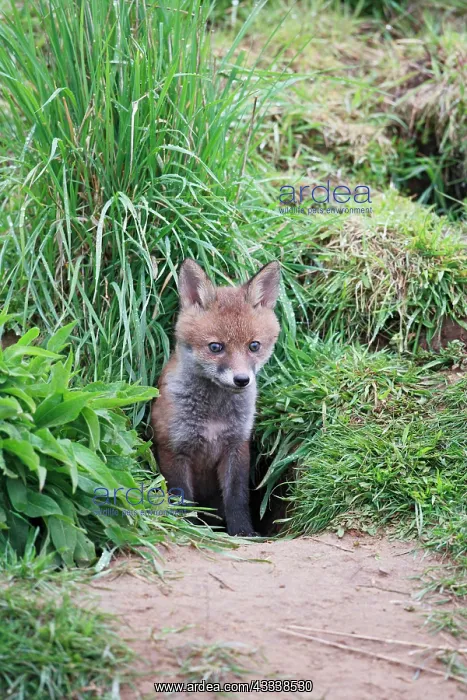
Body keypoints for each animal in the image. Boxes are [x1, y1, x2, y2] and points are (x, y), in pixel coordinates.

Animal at [151, 258, 281, 536]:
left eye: (254, 346)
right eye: (215, 347)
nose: (242, 380)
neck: (213, 417)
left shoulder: (236, 446)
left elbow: (237, 497)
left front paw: (243, 532)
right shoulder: (173, 449)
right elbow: (182, 498)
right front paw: (188, 527)